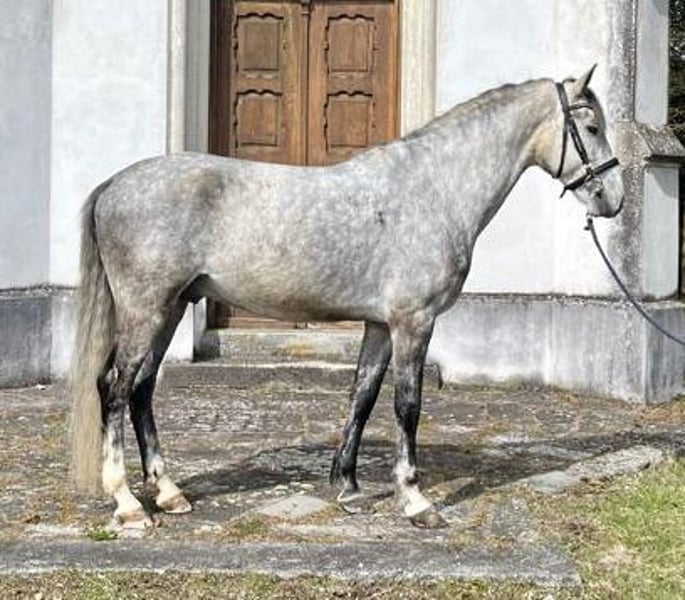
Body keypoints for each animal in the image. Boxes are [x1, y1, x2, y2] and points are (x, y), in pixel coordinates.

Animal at [70, 66, 624, 530]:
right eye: (592, 127)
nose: (613, 200)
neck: (434, 189)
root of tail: (114, 184)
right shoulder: (413, 321)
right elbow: (407, 405)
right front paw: (415, 501)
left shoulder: (380, 324)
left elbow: (363, 394)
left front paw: (349, 486)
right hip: (147, 309)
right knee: (116, 388)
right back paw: (128, 504)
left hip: (170, 309)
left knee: (141, 390)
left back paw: (168, 493)